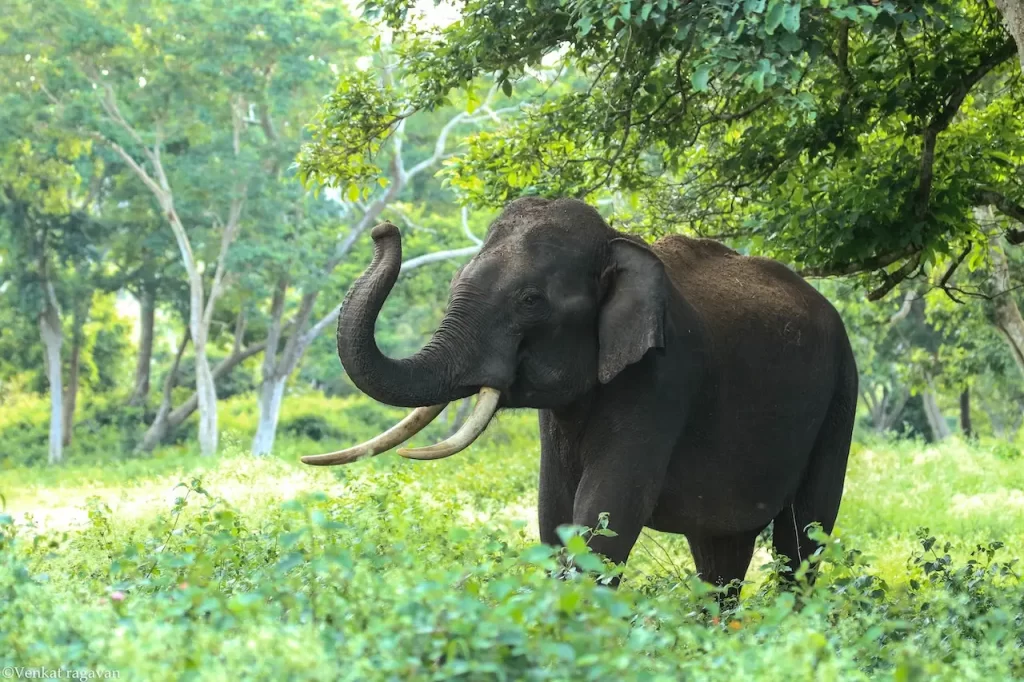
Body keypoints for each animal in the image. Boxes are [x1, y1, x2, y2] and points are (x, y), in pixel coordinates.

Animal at [303, 197, 858, 596]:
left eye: (530, 300)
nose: (383, 230)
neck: (616, 241)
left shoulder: (662, 379)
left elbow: (606, 512)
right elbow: (555, 513)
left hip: (841, 394)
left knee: (803, 537)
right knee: (720, 554)